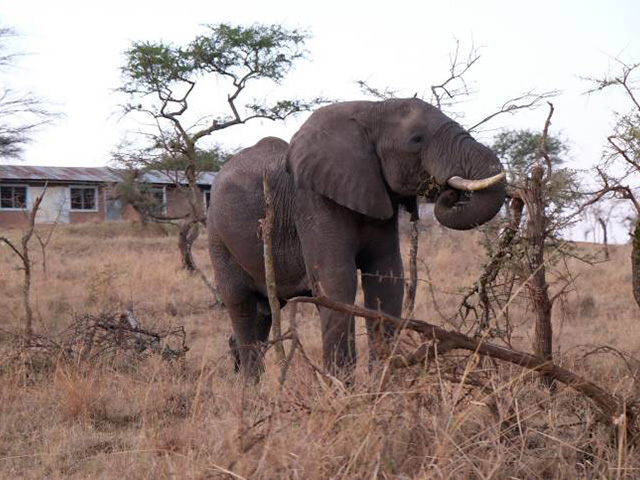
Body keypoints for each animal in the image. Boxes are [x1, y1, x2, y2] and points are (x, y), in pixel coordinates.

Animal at [208, 97, 508, 380]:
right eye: (416, 139)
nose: (448, 192)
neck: (371, 111)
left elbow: (387, 279)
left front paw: (381, 385)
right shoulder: (314, 203)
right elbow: (338, 282)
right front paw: (341, 390)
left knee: (264, 313)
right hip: (218, 237)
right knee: (242, 306)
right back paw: (250, 392)